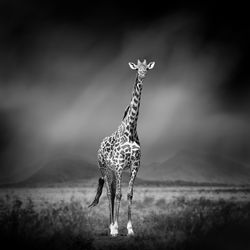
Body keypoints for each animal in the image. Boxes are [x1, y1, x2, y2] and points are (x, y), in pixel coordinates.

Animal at [88, 58, 154, 236]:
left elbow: (130, 194)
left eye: (147, 68)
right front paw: (116, 228)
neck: (131, 129)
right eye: (137, 68)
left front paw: (130, 229)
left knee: (111, 192)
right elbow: (118, 194)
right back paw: (111, 227)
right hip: (105, 169)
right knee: (109, 193)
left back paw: (111, 226)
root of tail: (99, 147)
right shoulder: (118, 166)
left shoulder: (134, 166)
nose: (143, 74)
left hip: (112, 172)